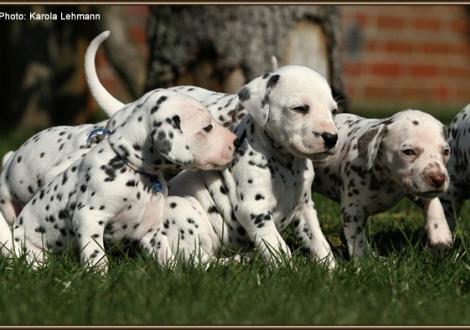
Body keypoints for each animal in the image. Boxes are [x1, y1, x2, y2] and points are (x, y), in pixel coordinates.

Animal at [0, 89, 235, 272]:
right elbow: (97, 256)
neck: (131, 168)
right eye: (207, 127)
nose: (235, 140)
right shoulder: (89, 218)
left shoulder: (151, 230)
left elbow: (166, 258)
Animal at [312, 111, 452, 258]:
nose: (439, 179)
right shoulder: (352, 212)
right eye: (408, 151)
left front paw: (440, 234)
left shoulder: (414, 189)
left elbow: (434, 203)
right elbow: (357, 242)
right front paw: (363, 260)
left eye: (446, 151)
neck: (388, 181)